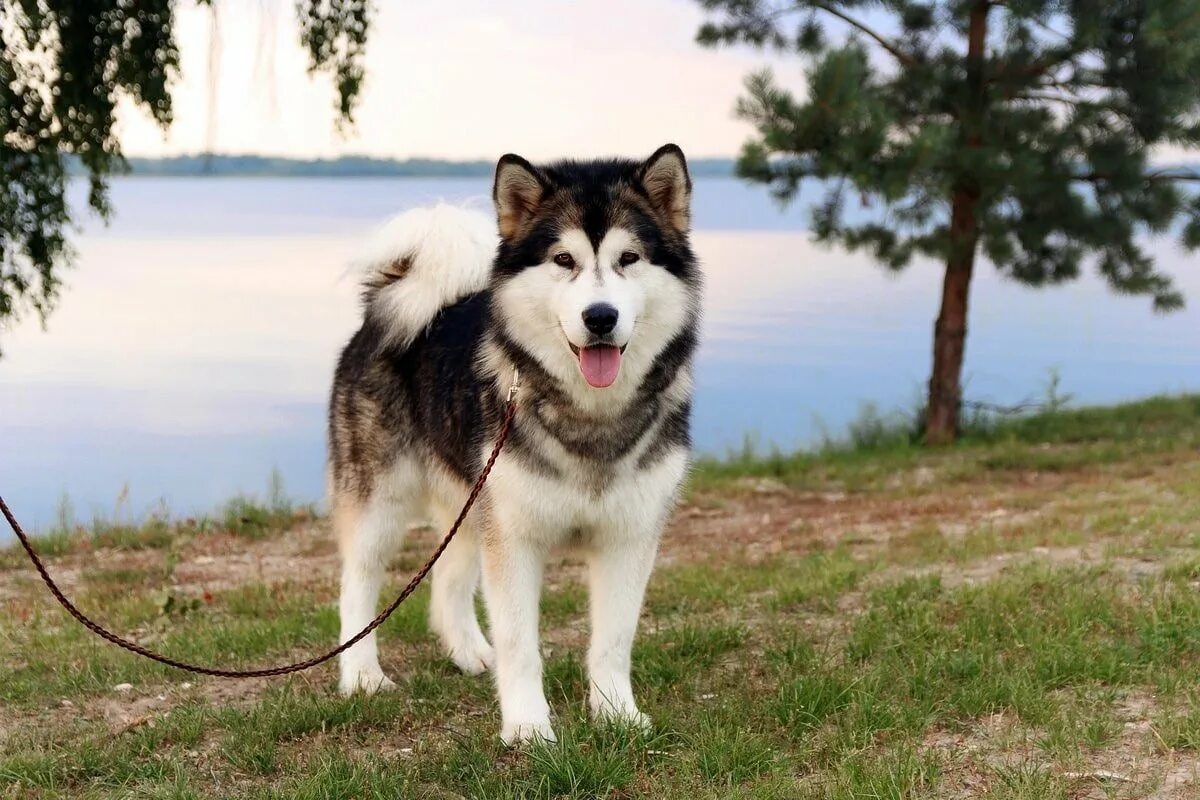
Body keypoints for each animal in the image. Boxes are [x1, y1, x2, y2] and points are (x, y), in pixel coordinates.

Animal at [328, 145, 700, 743]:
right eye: (564, 260)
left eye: (629, 258)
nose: (601, 317)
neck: (587, 415)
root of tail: (392, 303)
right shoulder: (514, 538)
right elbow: (521, 644)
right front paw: (528, 727)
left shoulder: (629, 537)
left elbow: (613, 642)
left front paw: (617, 715)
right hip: (382, 501)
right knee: (357, 581)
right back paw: (363, 676)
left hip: (469, 498)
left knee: (447, 581)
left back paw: (469, 652)